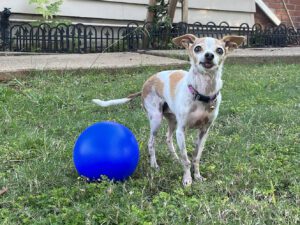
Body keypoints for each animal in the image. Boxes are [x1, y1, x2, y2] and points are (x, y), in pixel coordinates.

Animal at [92, 34, 245, 186]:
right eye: (197, 48)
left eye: (219, 50)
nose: (209, 55)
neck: (203, 92)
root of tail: (144, 85)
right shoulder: (181, 131)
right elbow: (186, 159)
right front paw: (187, 179)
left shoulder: (204, 131)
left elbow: (196, 157)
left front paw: (197, 176)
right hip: (156, 119)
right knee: (151, 143)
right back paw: (154, 165)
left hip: (172, 120)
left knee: (168, 139)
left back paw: (175, 158)